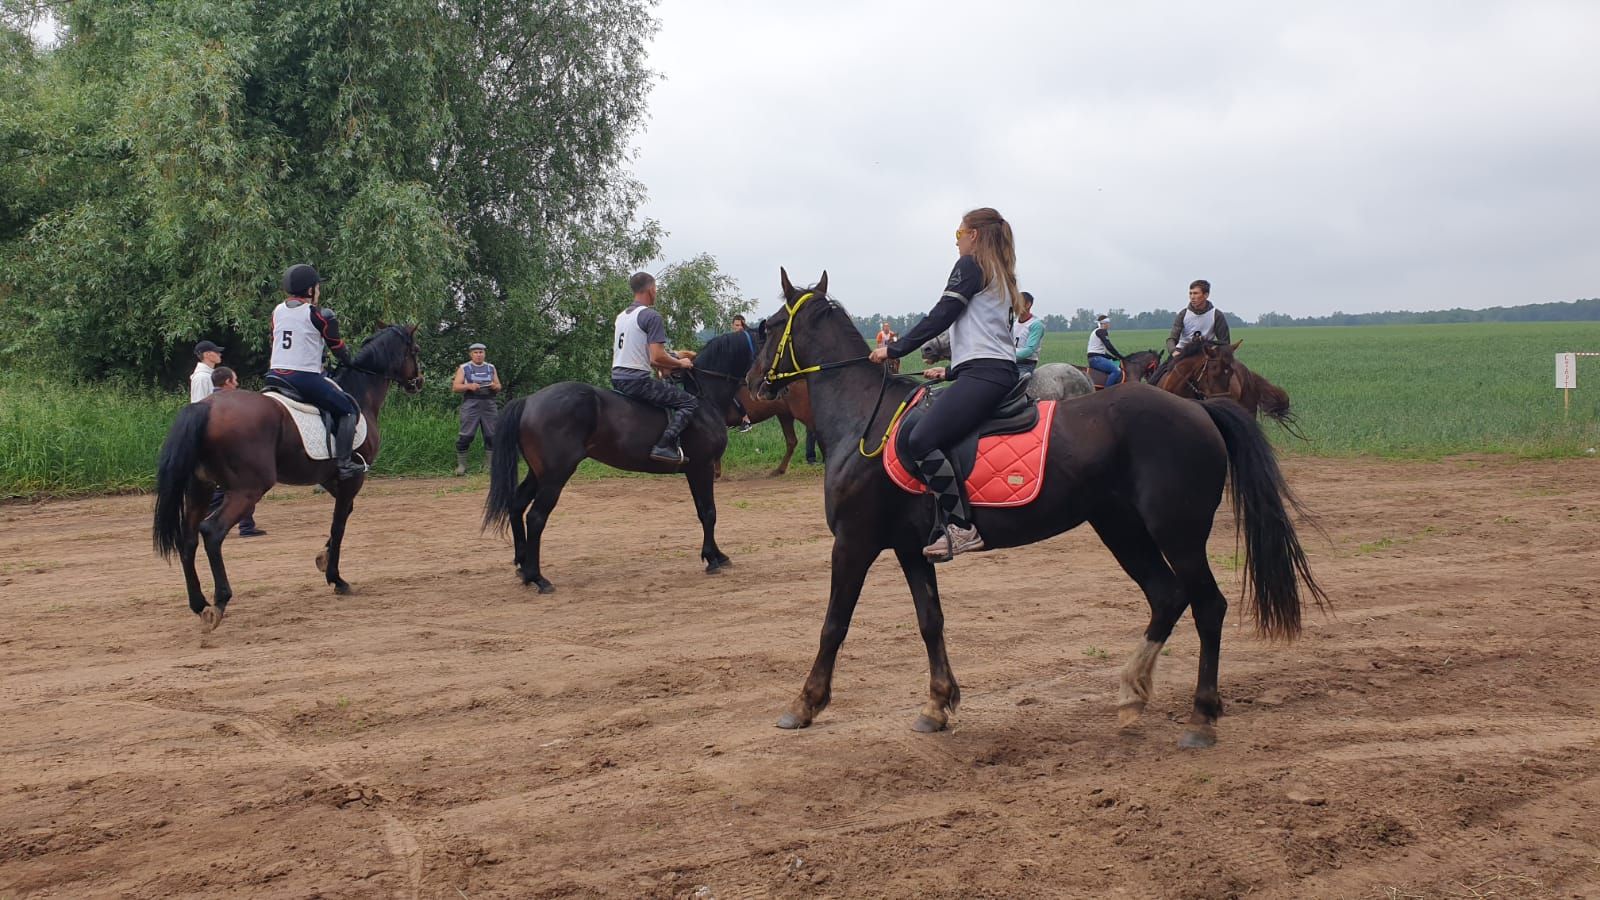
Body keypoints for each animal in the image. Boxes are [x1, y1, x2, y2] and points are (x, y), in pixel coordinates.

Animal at [150, 323, 422, 630]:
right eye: (415, 350)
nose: (418, 381)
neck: (359, 393)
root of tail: (206, 406)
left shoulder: (330, 479)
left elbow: (344, 514)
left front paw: (323, 557)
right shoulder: (351, 478)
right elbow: (339, 524)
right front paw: (336, 578)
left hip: (201, 487)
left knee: (188, 538)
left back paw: (199, 604)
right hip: (247, 489)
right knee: (211, 531)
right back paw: (220, 601)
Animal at [480, 325, 755, 592]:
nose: (757, 386)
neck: (704, 399)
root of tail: (528, 401)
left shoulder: (696, 470)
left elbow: (703, 510)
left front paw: (717, 555)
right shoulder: (702, 467)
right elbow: (708, 512)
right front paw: (712, 558)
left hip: (538, 473)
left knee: (516, 505)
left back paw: (523, 566)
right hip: (555, 476)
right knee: (536, 517)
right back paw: (537, 577)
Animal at [748, 269, 1324, 746]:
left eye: (768, 325)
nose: (752, 385)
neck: (865, 418)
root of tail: (1199, 410)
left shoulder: (855, 542)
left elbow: (833, 624)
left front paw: (804, 704)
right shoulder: (911, 549)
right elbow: (930, 621)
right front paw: (937, 704)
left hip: (1176, 534)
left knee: (1208, 605)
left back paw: (1201, 716)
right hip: (1121, 528)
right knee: (1167, 597)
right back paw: (1131, 693)